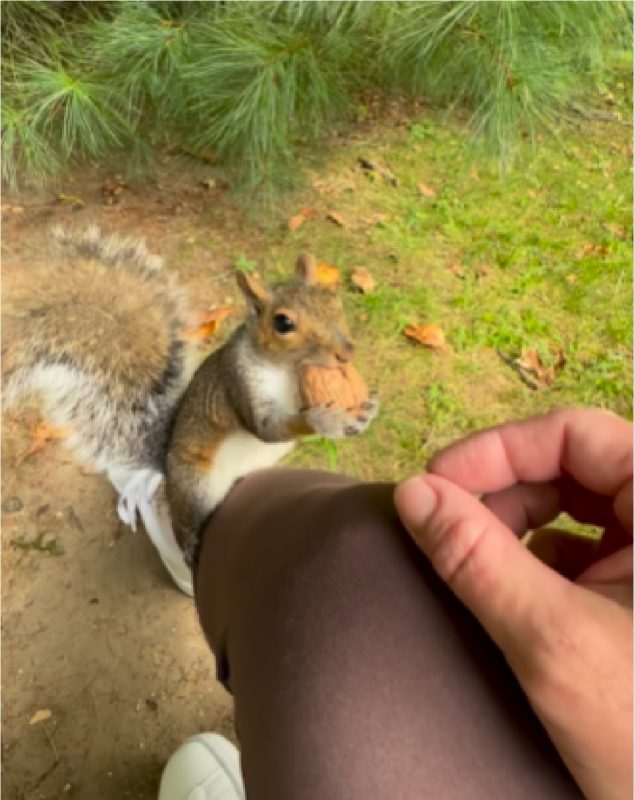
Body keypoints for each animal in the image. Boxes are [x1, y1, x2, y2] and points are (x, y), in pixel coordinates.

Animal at [4, 225, 380, 592]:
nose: (346, 352)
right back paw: (190, 545)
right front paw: (324, 418)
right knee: (185, 524)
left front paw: (364, 411)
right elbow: (266, 428)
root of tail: (166, 475)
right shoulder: (238, 382)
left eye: (334, 300)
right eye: (283, 323)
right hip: (195, 485)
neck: (288, 371)